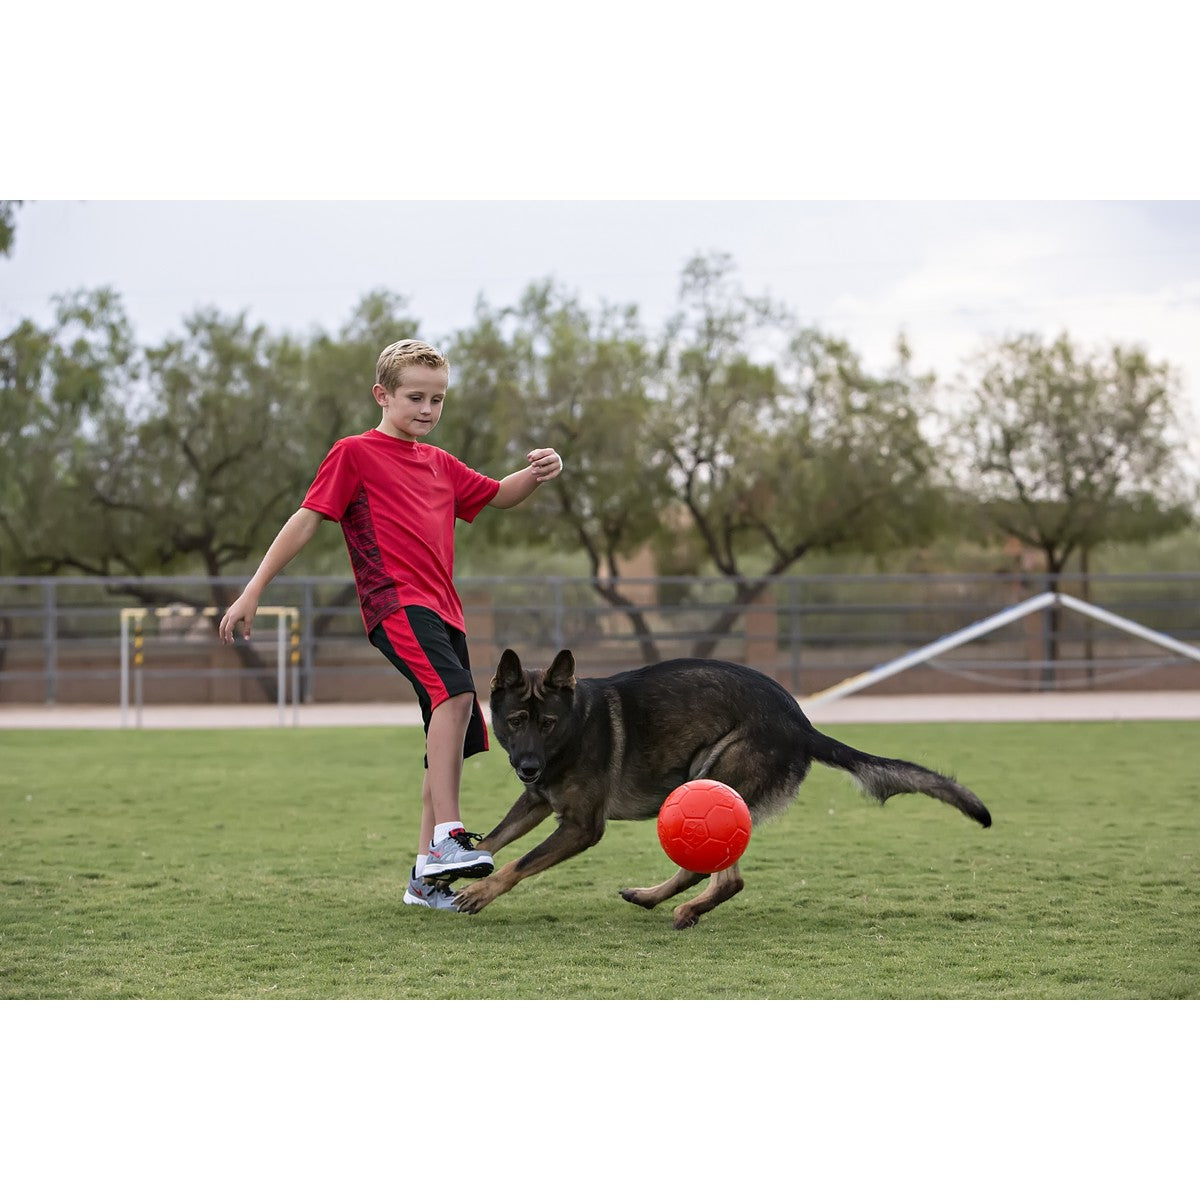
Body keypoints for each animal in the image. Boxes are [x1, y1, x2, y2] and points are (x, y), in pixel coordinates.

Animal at [453, 652, 988, 921]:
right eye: (515, 722)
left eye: (547, 724)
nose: (527, 766)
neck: (576, 726)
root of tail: (802, 723)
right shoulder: (535, 802)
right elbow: (495, 840)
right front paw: (450, 871)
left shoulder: (581, 827)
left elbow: (520, 863)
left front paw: (481, 892)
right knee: (711, 873)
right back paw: (653, 898)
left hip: (709, 781)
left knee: (726, 878)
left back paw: (683, 908)